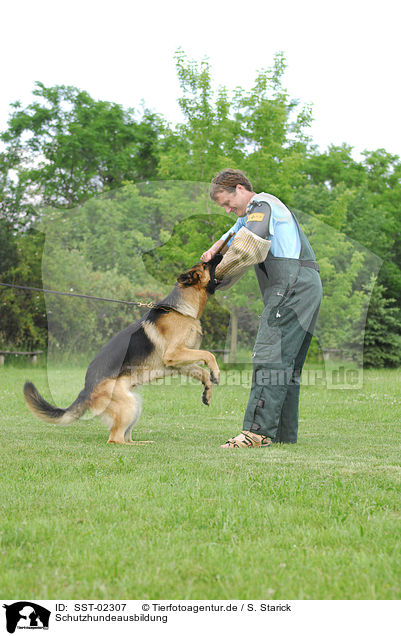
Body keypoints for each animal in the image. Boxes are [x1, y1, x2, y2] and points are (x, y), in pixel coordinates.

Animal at [23, 256, 222, 444]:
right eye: (205, 265)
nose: (219, 254)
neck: (182, 310)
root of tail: (86, 389)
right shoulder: (173, 354)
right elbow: (208, 354)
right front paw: (217, 373)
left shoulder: (179, 363)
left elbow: (203, 372)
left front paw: (208, 392)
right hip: (129, 405)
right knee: (116, 439)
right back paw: (140, 446)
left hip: (136, 404)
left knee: (125, 437)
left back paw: (144, 442)